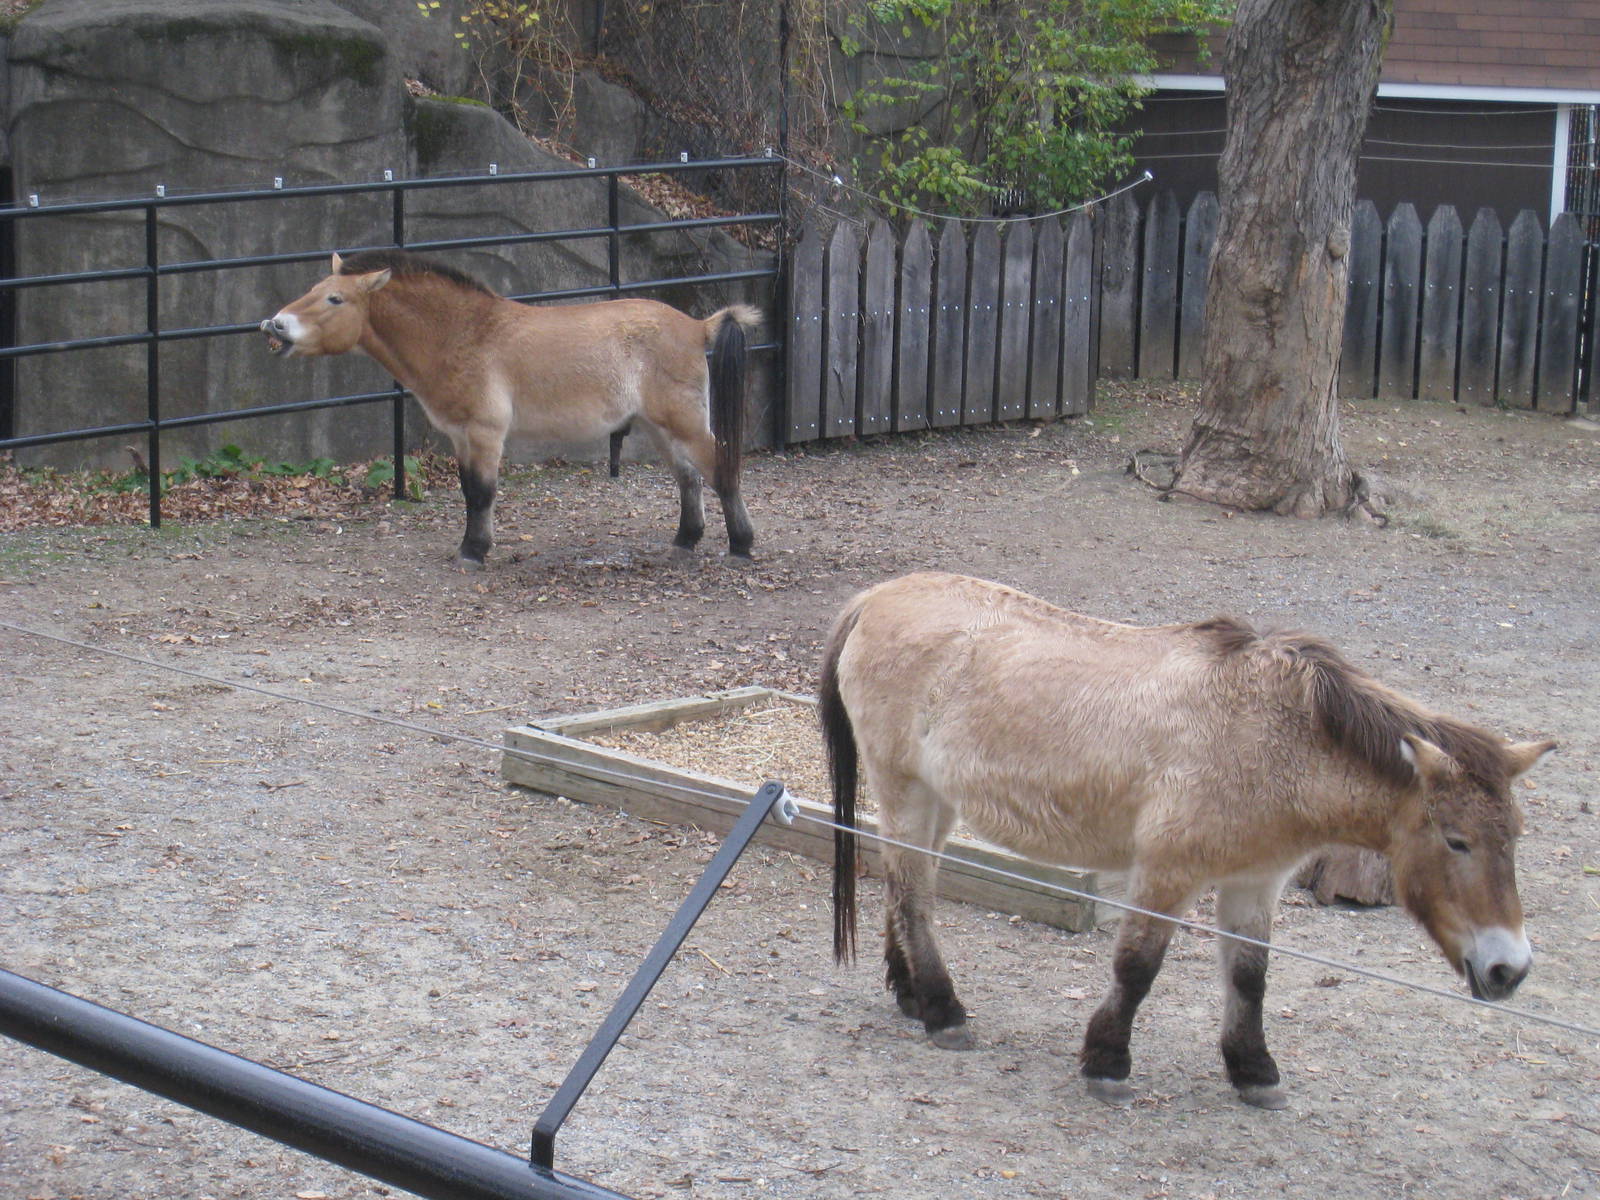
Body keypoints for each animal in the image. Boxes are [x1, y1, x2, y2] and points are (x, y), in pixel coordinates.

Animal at [261, 250, 761, 568]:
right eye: (315, 289)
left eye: (335, 299)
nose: (276, 325)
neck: (465, 334)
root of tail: (697, 326)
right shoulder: (461, 436)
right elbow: (469, 492)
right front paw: (472, 546)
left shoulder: (484, 434)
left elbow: (482, 494)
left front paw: (473, 553)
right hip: (658, 427)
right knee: (689, 479)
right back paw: (685, 542)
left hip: (685, 423)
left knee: (720, 471)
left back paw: (741, 545)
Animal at [819, 571, 1555, 1110]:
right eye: (1457, 841)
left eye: (1514, 838)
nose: (1509, 970)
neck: (1272, 737)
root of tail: (876, 597)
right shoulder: (1167, 872)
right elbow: (1138, 967)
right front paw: (1107, 1061)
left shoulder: (1255, 881)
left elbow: (1250, 975)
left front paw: (1254, 1070)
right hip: (905, 788)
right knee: (912, 893)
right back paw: (943, 1010)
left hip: (936, 799)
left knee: (904, 883)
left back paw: (910, 993)